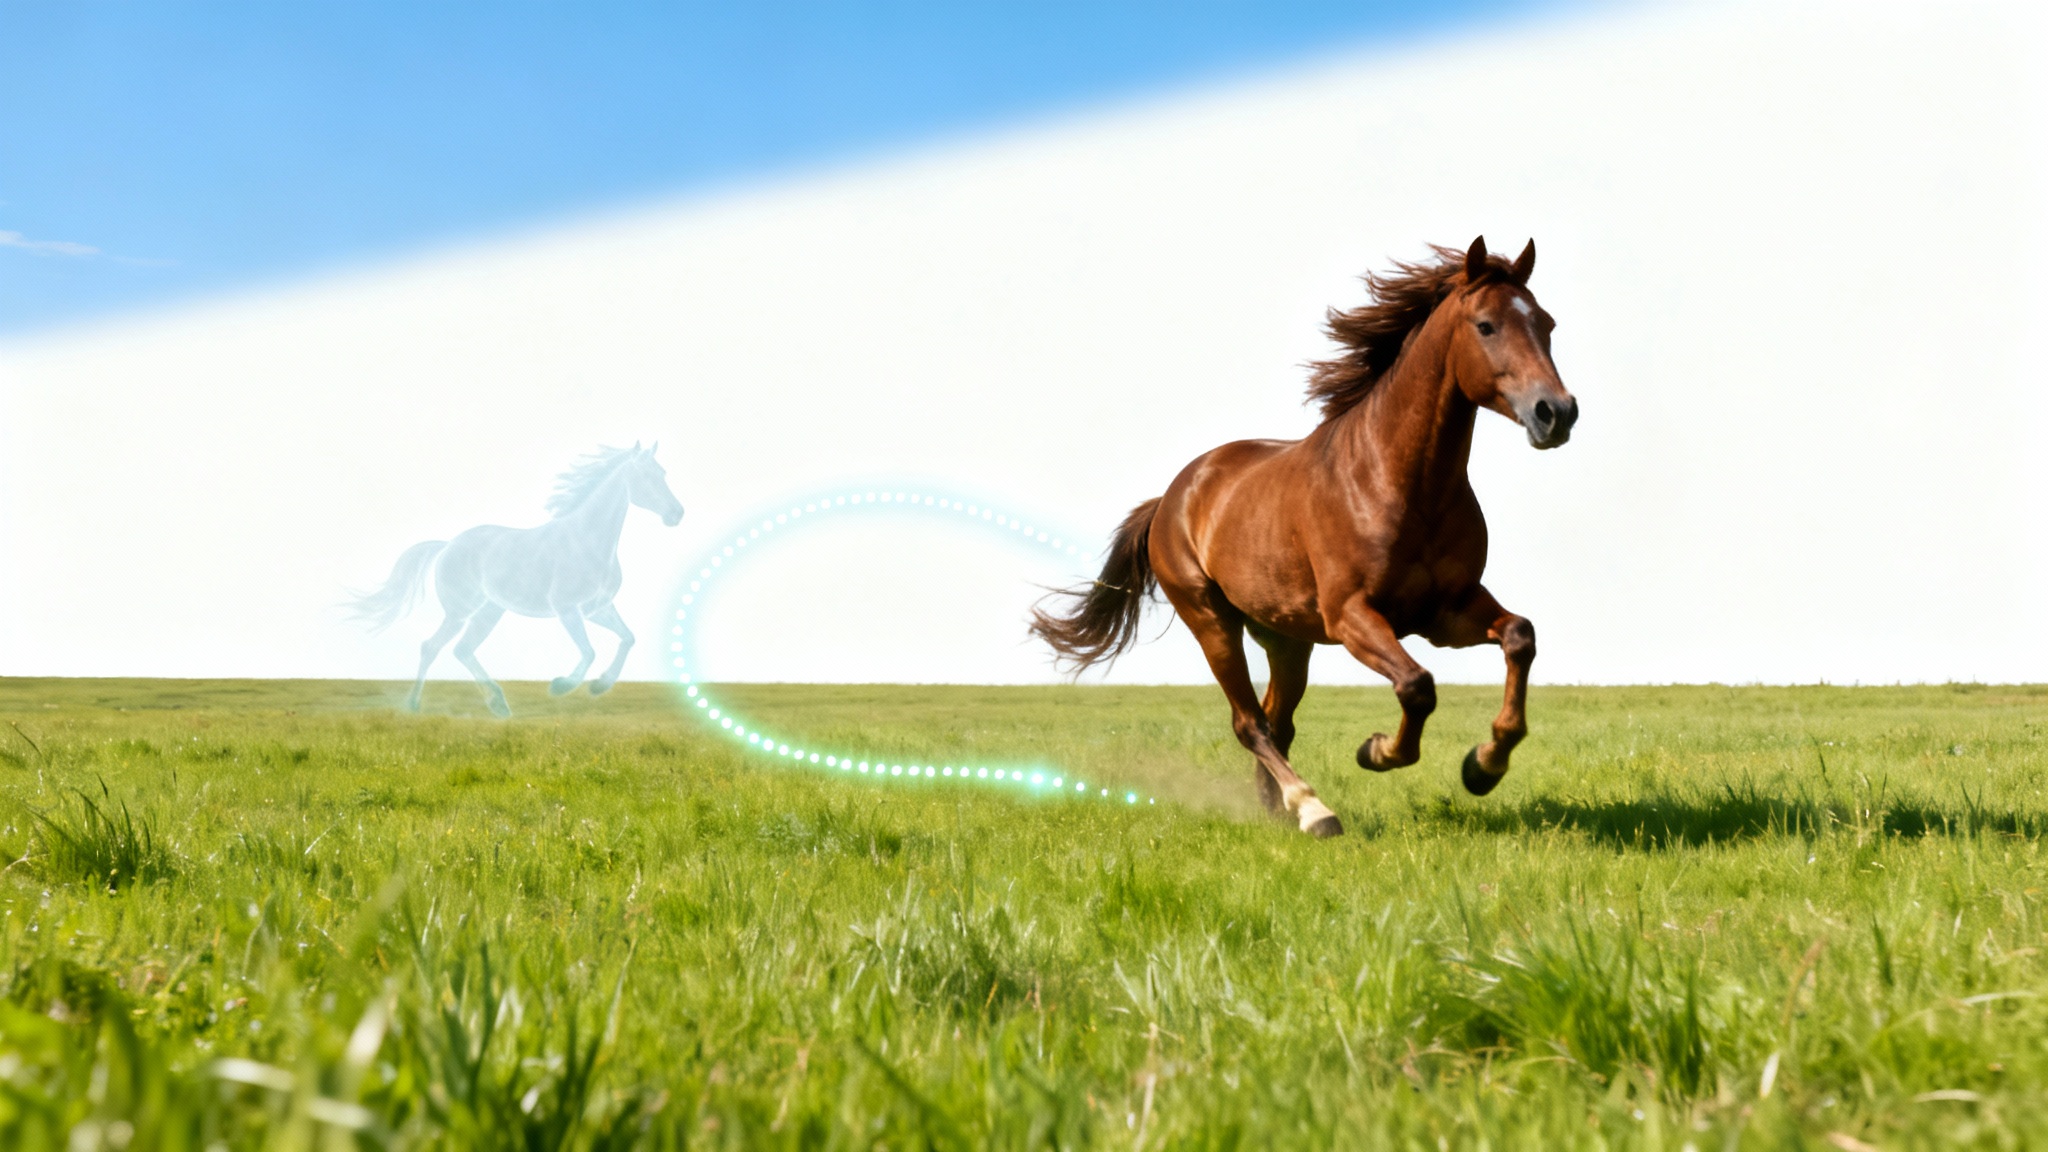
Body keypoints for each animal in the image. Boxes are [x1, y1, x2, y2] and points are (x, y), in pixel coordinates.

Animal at [350, 442, 685, 716]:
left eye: (663, 473)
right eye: (646, 475)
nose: (676, 513)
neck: (587, 543)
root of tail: (447, 545)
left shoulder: (597, 609)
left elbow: (627, 638)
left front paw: (600, 685)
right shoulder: (567, 609)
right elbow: (589, 651)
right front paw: (560, 686)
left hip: (490, 611)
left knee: (462, 650)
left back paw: (498, 704)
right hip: (460, 611)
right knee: (432, 646)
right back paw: (414, 705)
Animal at [1032, 238, 1578, 838]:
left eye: (1547, 323)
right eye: (1486, 326)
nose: (1557, 413)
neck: (1399, 483)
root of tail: (1173, 497)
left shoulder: (1447, 612)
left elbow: (1519, 637)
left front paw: (1483, 765)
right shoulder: (1352, 616)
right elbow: (1417, 686)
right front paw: (1377, 751)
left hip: (1286, 639)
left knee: (1277, 722)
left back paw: (1278, 810)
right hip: (1213, 622)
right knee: (1250, 723)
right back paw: (1313, 810)